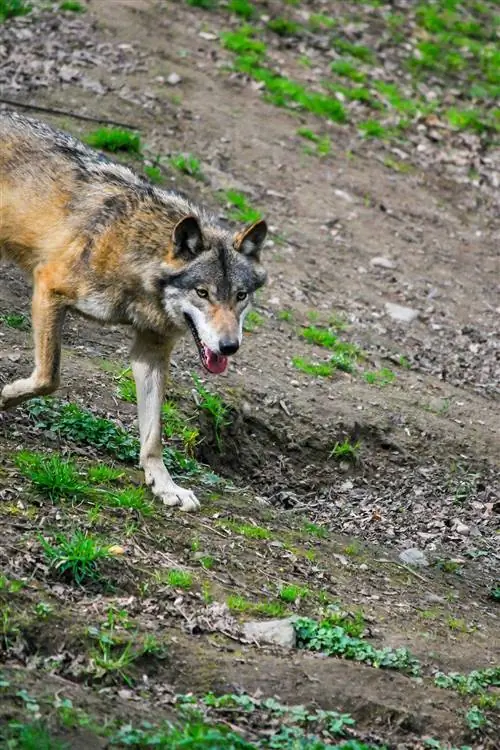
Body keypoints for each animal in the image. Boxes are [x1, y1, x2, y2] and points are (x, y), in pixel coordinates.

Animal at [0, 111, 267, 511]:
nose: (229, 347)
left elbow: (154, 434)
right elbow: (49, 377)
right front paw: (5, 396)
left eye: (240, 296)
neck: (135, 256)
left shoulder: (151, 352)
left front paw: (165, 485)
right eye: (202, 293)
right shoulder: (49, 288)